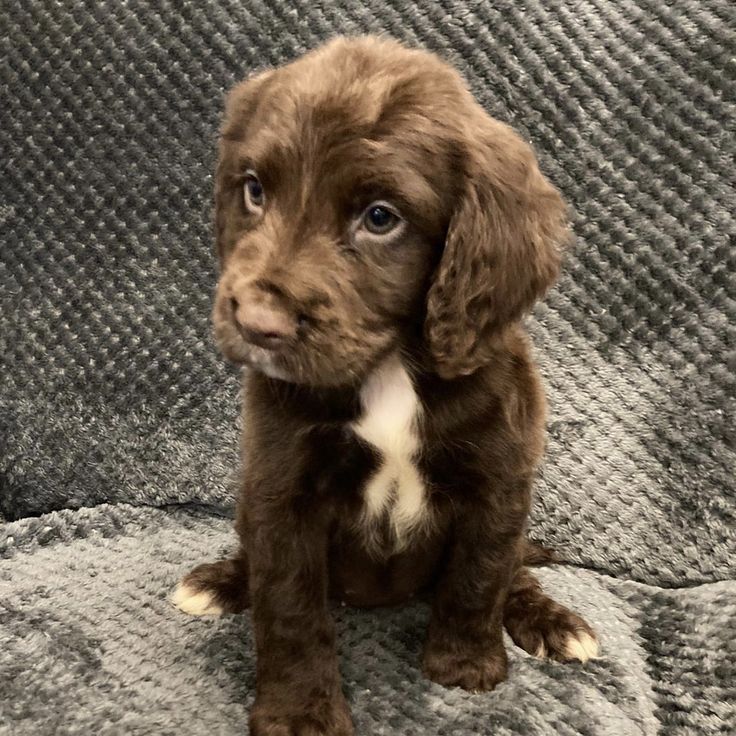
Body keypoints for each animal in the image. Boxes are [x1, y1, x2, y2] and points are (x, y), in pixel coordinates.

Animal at [174, 36, 600, 736]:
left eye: (380, 218)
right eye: (254, 190)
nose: (257, 324)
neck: (391, 364)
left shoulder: (498, 480)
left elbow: (479, 577)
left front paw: (465, 667)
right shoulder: (280, 488)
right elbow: (287, 605)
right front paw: (300, 709)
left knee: (514, 572)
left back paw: (552, 622)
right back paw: (221, 582)